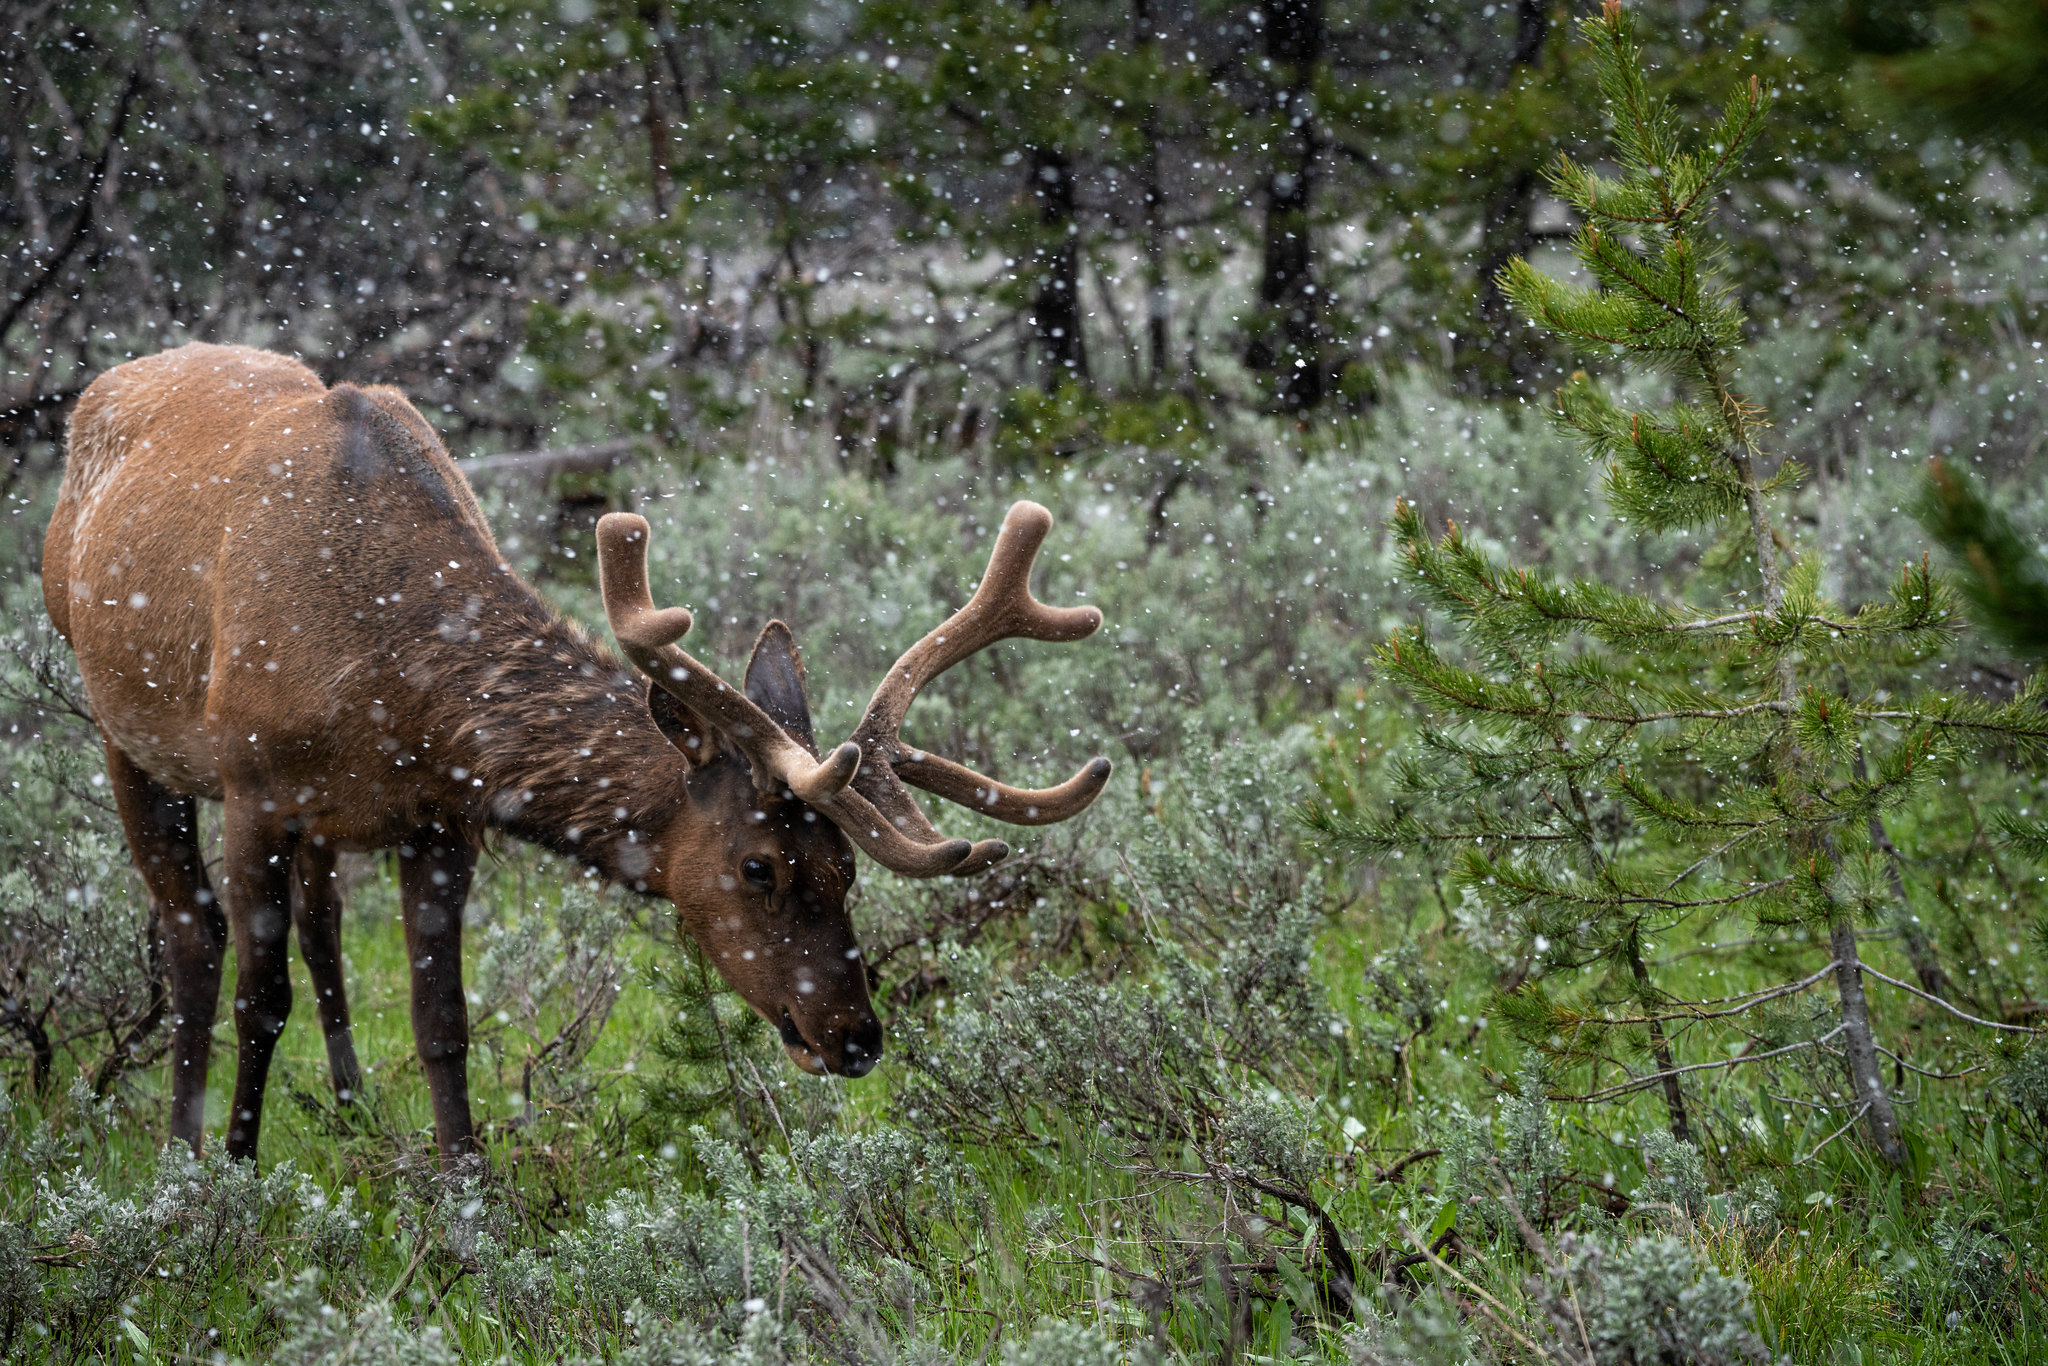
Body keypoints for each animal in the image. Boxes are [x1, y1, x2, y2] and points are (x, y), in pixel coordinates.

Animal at [39, 342, 1114, 1163]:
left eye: (846, 869)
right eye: (757, 866)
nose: (856, 1037)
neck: (387, 675)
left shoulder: (440, 816)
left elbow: (442, 1021)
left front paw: (466, 1189)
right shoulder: (256, 784)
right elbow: (259, 1002)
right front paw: (236, 1173)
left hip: (316, 822)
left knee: (323, 925)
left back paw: (349, 1108)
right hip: (125, 731)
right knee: (193, 936)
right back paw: (182, 1153)